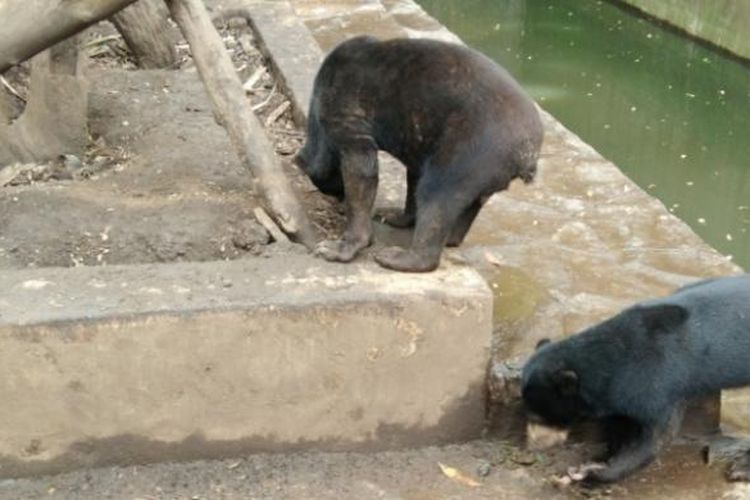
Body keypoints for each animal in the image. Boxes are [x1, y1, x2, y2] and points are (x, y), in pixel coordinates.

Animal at [296, 35, 544, 272]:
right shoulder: (418, 142)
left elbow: (362, 172)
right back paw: (447, 238)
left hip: (470, 152)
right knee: (465, 204)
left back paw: (398, 258)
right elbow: (413, 176)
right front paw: (394, 216)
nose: (337, 200)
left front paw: (338, 248)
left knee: (437, 195)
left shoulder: (345, 116)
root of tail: (528, 153)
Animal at [524, 276, 750, 482]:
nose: (533, 444)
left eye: (539, 417)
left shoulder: (659, 381)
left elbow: (654, 437)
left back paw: (740, 469)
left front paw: (594, 472)